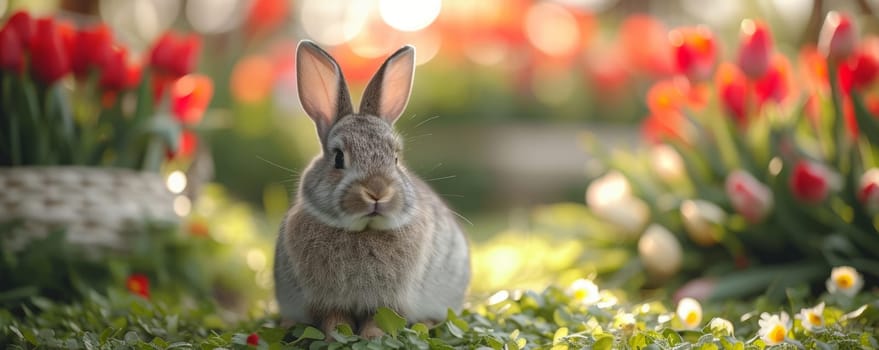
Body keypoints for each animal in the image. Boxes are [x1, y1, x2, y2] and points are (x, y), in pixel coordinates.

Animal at [276, 41, 474, 340]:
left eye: (395, 158)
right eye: (338, 157)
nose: (377, 191)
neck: (364, 231)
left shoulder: (390, 302)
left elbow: (380, 320)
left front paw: (372, 337)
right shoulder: (326, 302)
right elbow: (334, 320)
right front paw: (336, 336)